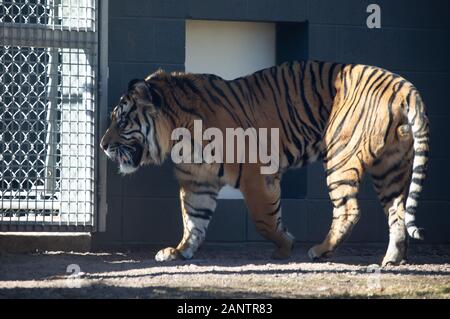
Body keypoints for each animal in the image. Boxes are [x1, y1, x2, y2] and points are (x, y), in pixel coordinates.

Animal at [101, 61, 428, 266]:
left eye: (122, 121)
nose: (103, 145)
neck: (178, 134)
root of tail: (402, 85)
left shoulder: (255, 174)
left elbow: (264, 220)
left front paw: (284, 246)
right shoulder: (197, 182)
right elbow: (193, 220)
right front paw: (180, 251)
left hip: (342, 154)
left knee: (349, 209)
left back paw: (320, 251)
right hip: (390, 167)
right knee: (397, 210)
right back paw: (392, 259)